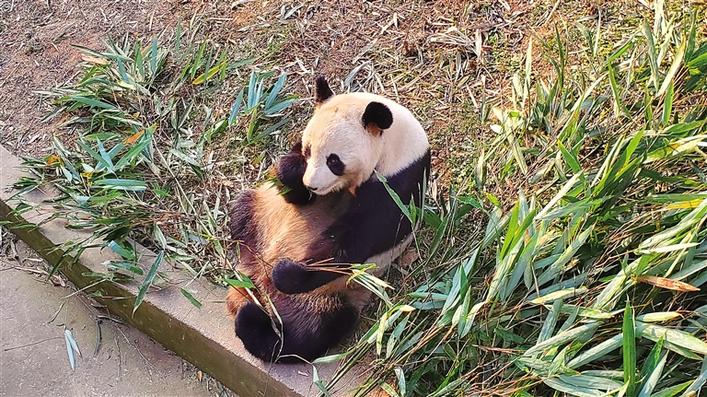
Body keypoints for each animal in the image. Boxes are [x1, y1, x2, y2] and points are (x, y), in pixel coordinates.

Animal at [225, 76, 432, 364]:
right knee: (241, 211)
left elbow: (353, 241)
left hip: (333, 295)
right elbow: (287, 181)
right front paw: (293, 174)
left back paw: (255, 319)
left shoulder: (400, 184)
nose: (312, 184)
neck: (396, 145)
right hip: (261, 210)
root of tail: (256, 283)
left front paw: (286, 272)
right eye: (308, 150)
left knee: (311, 333)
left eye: (334, 161)